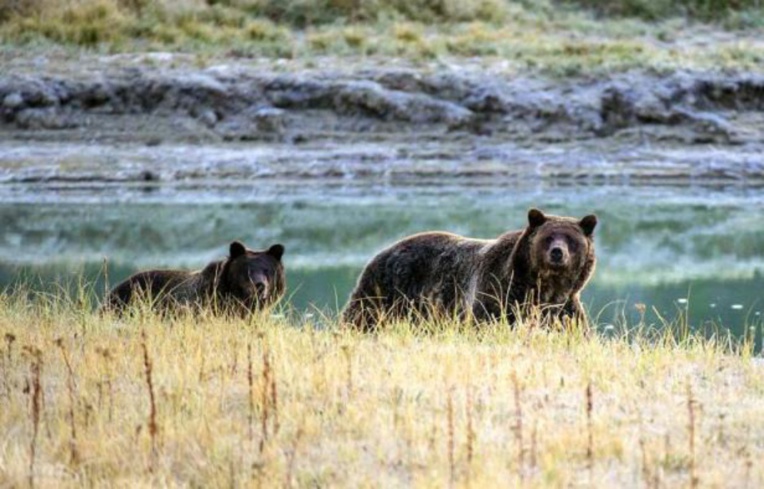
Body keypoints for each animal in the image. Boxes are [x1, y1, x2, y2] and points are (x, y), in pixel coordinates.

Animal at [342, 208, 597, 331]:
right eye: (548, 237)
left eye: (571, 239)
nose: (557, 253)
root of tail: (382, 251)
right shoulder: (497, 293)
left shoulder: (563, 308)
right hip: (386, 291)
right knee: (361, 316)